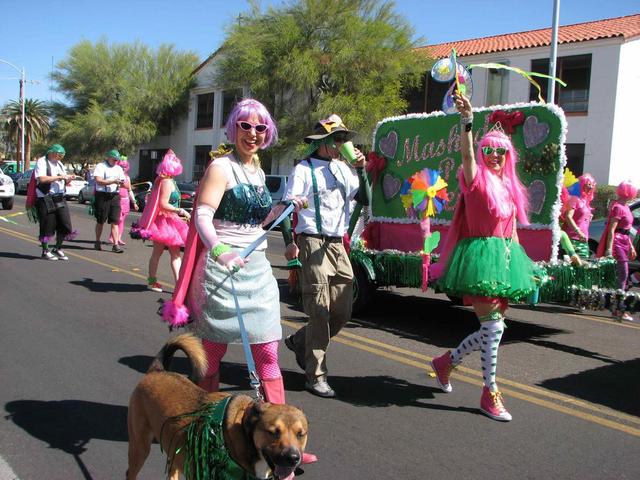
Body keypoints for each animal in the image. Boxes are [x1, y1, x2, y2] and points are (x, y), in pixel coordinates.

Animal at [126, 334, 308, 480]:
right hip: (140, 445)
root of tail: (157, 371)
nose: (293, 458)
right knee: (131, 472)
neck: (244, 432)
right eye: (273, 432)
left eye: (301, 434)